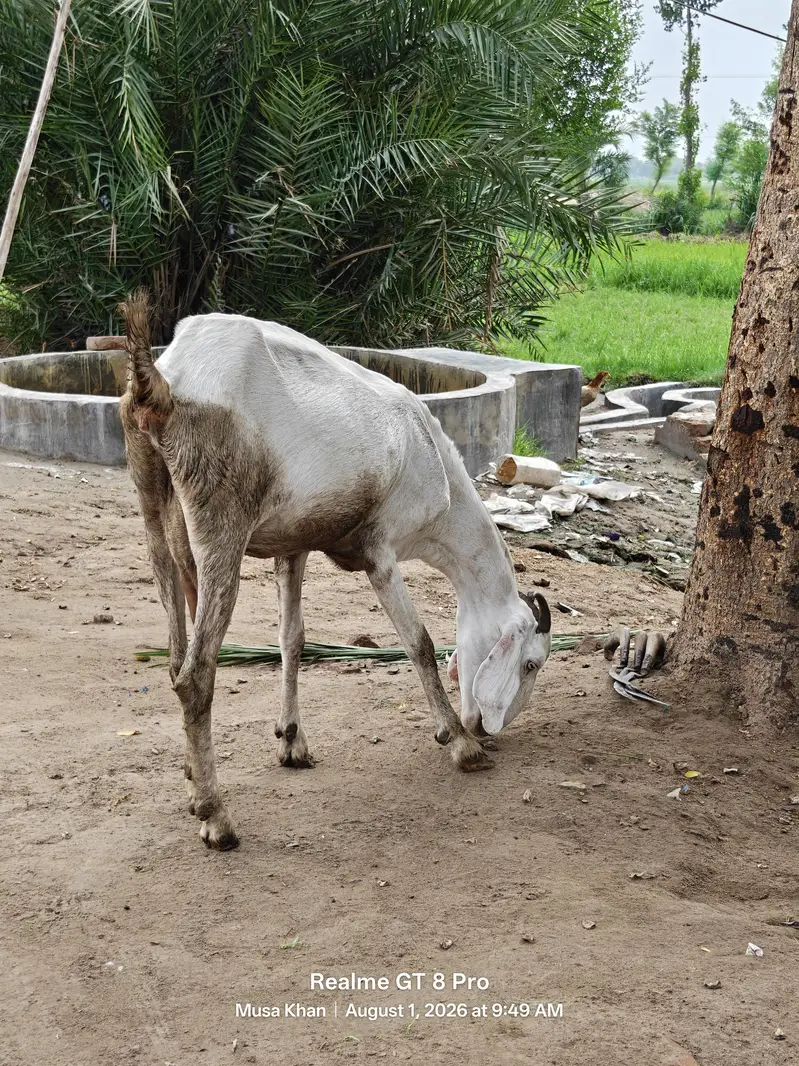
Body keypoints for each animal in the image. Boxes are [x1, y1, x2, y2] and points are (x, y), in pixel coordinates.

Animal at [120, 292, 551, 849]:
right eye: (530, 664)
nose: (485, 728)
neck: (432, 457)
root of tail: (165, 380)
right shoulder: (379, 551)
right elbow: (419, 643)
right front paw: (460, 745)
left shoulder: (295, 545)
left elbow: (293, 639)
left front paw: (292, 743)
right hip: (222, 523)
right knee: (195, 675)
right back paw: (217, 817)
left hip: (153, 505)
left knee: (176, 657)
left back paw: (196, 783)